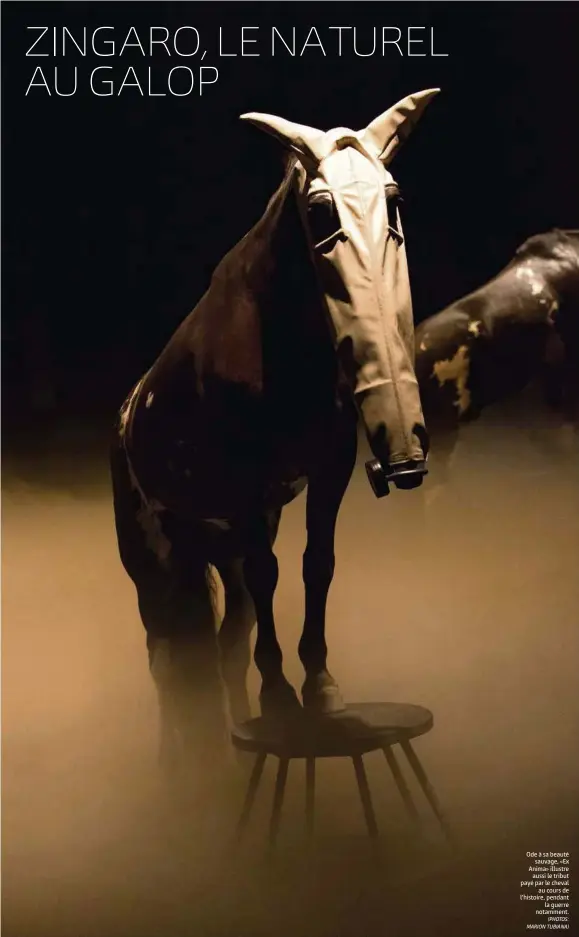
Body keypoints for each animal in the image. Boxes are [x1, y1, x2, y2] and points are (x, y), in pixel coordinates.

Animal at [111, 89, 442, 760]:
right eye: (319, 210)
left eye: (393, 199)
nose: (405, 461)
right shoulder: (246, 483)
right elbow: (272, 574)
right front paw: (282, 698)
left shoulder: (328, 466)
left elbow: (318, 563)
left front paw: (319, 689)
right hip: (155, 562)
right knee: (167, 655)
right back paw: (178, 761)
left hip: (219, 549)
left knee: (222, 644)